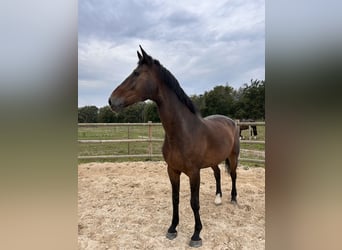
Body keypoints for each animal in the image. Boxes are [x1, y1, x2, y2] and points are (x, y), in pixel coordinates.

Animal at [108, 46, 239, 247]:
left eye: (136, 73)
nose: (111, 100)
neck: (183, 131)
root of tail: (232, 121)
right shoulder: (172, 170)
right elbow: (175, 199)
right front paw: (172, 228)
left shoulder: (194, 172)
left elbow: (194, 202)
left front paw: (196, 235)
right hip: (213, 160)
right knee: (217, 173)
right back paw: (218, 198)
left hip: (233, 156)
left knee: (233, 175)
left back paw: (233, 198)